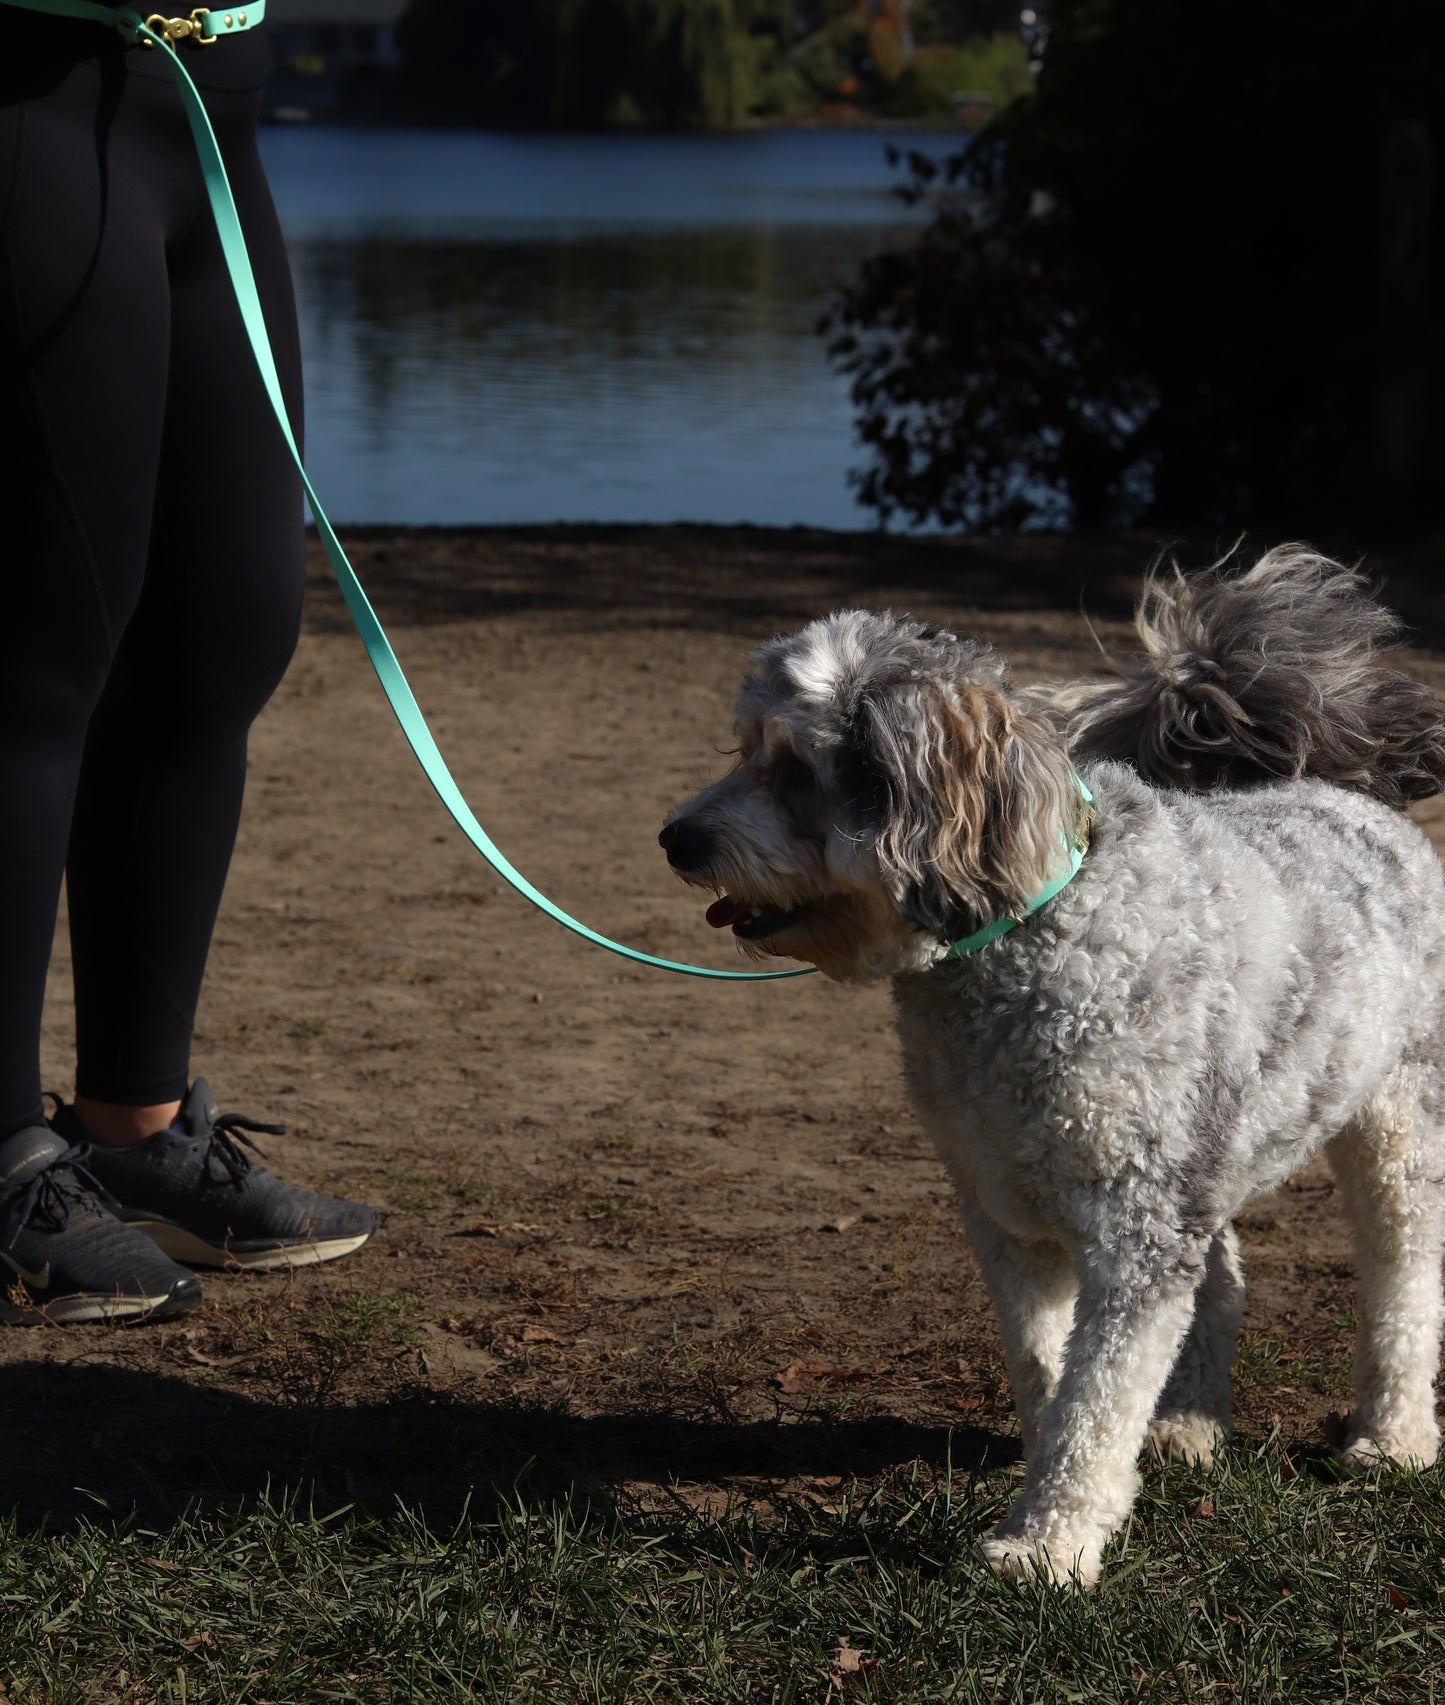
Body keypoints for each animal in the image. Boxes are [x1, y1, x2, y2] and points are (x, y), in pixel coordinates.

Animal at [657, 545, 1445, 1582]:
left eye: (794, 767)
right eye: (743, 748)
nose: (676, 838)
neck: (1028, 931)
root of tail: (1338, 788)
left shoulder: (1136, 1230)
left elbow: (1095, 1395)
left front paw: (1049, 1545)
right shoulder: (1007, 1209)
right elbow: (1046, 1371)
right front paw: (1052, 1490)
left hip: (1395, 1130)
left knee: (1404, 1285)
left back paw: (1391, 1440)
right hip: (1205, 1151)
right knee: (1222, 1277)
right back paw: (1186, 1422)